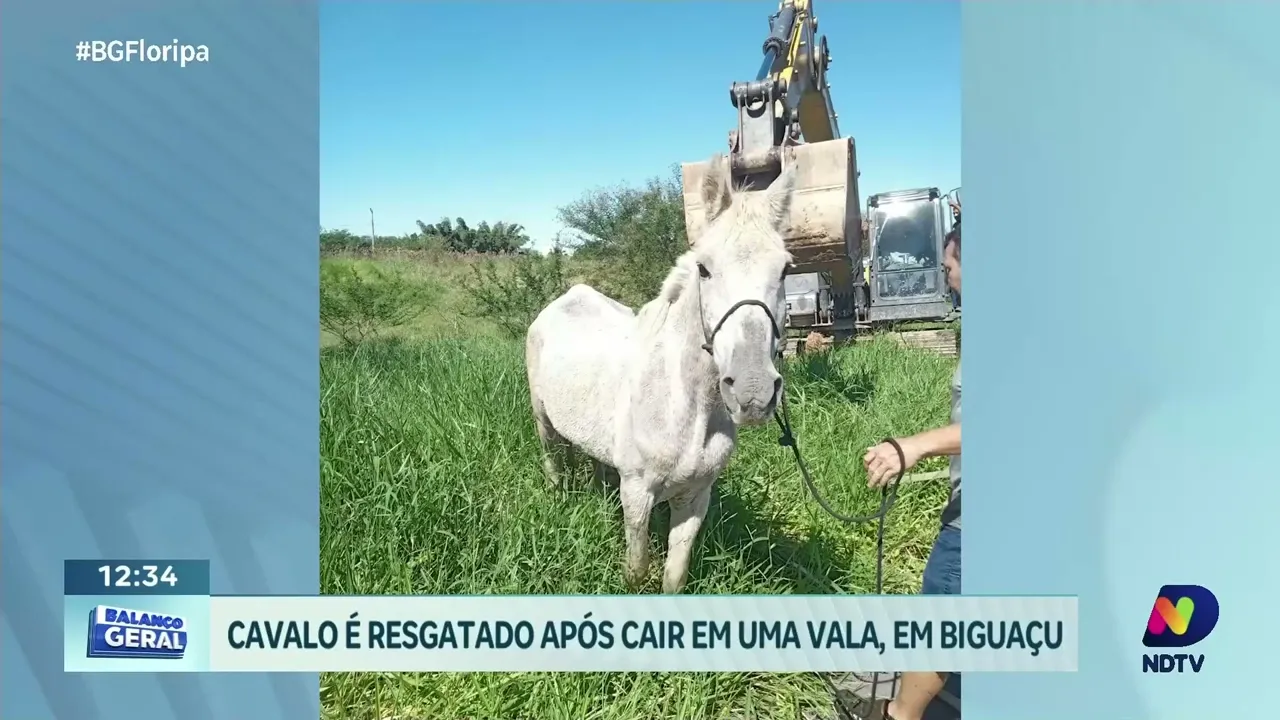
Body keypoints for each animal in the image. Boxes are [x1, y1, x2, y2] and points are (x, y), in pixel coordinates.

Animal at [525, 154, 794, 593]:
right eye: (704, 268)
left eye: (786, 269)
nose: (753, 393)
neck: (683, 404)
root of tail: (564, 299)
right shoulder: (637, 493)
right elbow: (637, 569)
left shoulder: (696, 498)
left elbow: (674, 573)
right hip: (543, 420)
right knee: (553, 461)